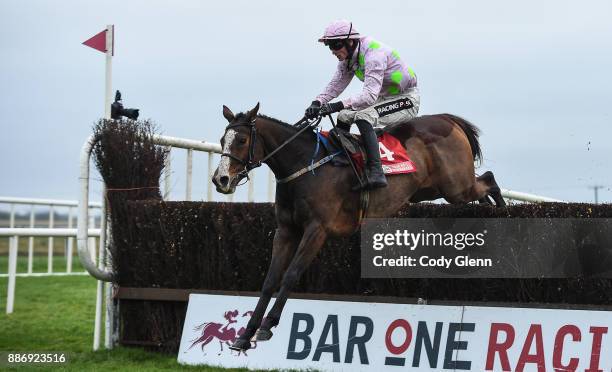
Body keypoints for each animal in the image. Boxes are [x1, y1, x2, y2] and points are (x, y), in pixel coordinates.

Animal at [212, 102, 506, 352]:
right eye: (222, 140)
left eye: (242, 140)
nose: (221, 179)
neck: (305, 166)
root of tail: (447, 119)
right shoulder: (286, 230)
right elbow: (270, 280)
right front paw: (245, 335)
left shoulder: (317, 229)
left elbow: (291, 275)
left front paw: (268, 325)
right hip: (433, 190)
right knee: (483, 190)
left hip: (456, 186)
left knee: (490, 180)